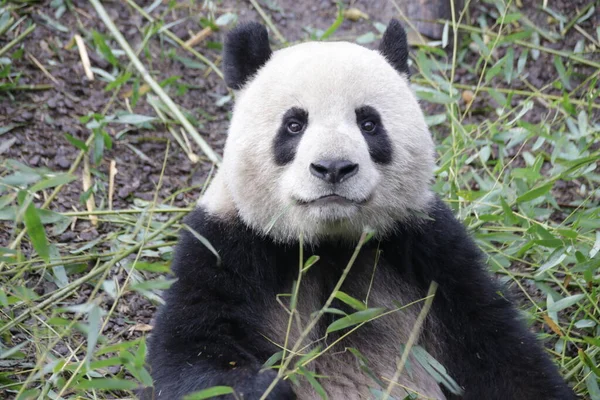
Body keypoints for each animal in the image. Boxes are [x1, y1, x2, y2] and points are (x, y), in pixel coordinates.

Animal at [146, 20, 576, 400]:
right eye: (294, 124)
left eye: (369, 123)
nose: (333, 167)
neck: (328, 243)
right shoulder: (226, 245)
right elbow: (192, 350)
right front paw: (260, 388)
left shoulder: (428, 251)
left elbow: (496, 349)